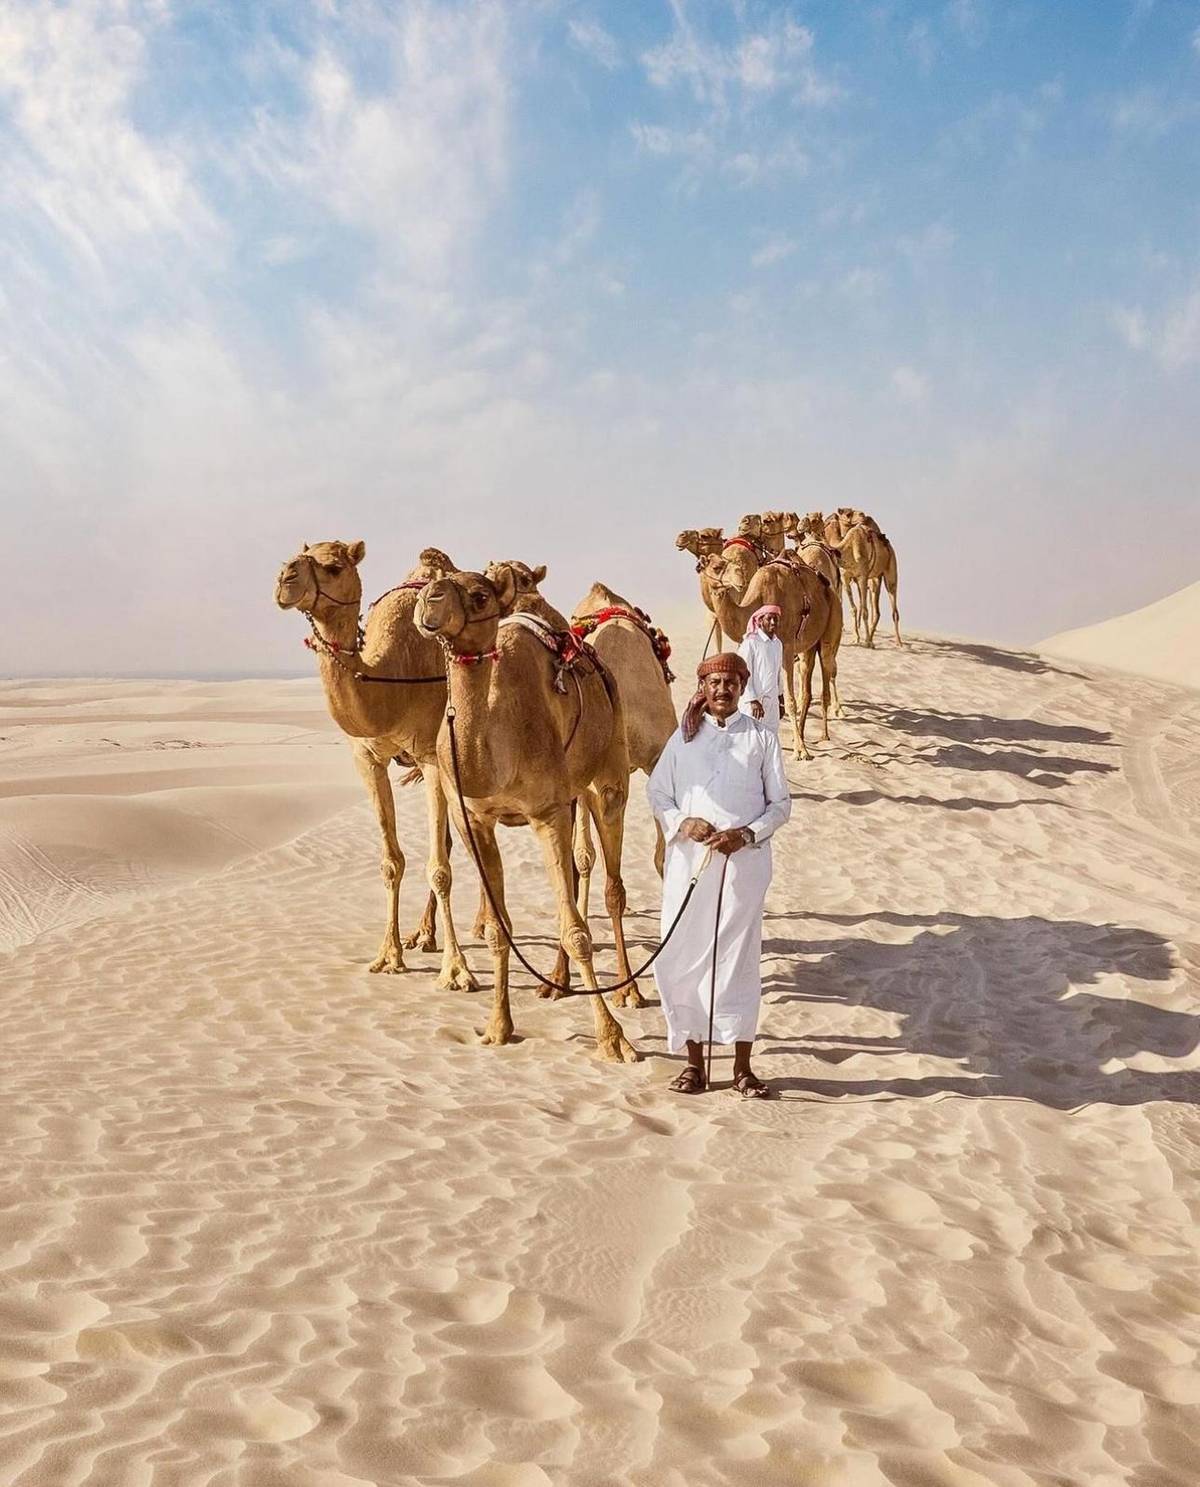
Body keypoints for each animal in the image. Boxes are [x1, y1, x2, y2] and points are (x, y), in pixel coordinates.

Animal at [274, 541, 476, 990]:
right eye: (297, 555)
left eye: (333, 567)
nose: (284, 579)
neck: (391, 678)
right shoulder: (368, 760)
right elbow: (391, 861)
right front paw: (388, 954)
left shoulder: (432, 757)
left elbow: (439, 868)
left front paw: (457, 970)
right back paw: (424, 935)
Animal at [415, 566, 640, 1060]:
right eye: (438, 582)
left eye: (479, 595)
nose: (428, 600)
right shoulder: (474, 820)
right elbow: (499, 930)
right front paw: (498, 1026)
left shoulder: (546, 811)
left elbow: (578, 933)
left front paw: (612, 1038)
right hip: (574, 796)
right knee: (574, 877)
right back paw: (555, 983)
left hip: (607, 778)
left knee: (612, 887)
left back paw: (627, 990)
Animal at [703, 554, 842, 761]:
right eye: (716, 566)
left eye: (727, 564)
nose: (739, 578)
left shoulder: (787, 648)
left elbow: (790, 701)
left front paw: (801, 752)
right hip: (808, 647)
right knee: (807, 687)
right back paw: (801, 736)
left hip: (830, 626)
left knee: (826, 672)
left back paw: (823, 735)